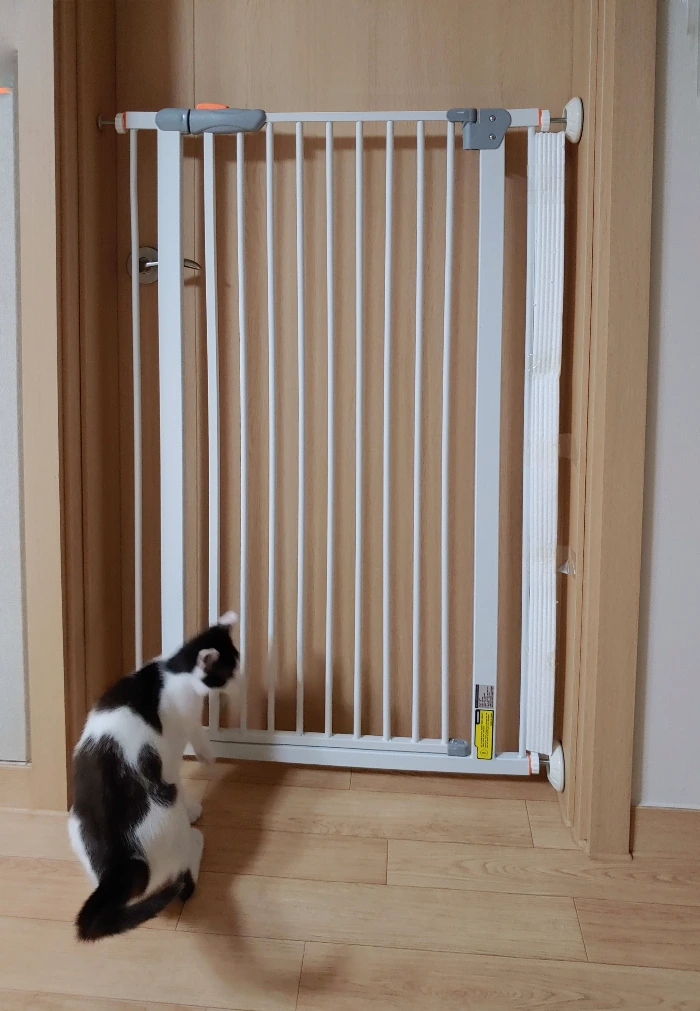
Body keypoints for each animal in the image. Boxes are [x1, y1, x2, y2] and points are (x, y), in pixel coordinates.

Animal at [68, 611, 240, 941]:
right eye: (229, 671)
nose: (242, 679)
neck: (174, 671)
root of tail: (121, 866)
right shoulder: (172, 746)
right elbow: (193, 742)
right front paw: (205, 763)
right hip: (167, 816)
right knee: (184, 879)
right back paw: (196, 840)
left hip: (74, 823)